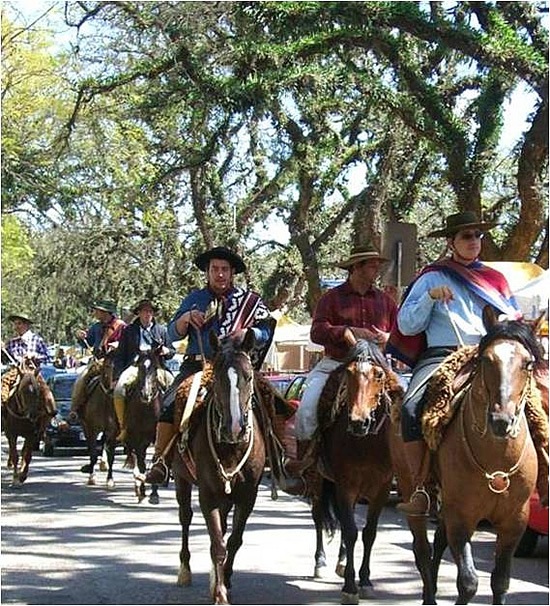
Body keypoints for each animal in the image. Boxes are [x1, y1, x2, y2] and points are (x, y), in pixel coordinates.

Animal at [73, 356, 119, 490]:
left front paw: (110, 480)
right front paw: (91, 477)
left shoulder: (112, 431)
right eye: (106, 367)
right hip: (86, 427)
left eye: (114, 367)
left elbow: (111, 456)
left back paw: (102, 463)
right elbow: (93, 454)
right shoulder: (92, 429)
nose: (111, 389)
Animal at [172, 330, 268, 604]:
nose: (233, 428)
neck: (231, 449)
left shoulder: (247, 496)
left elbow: (233, 540)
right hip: (181, 479)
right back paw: (185, 571)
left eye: (248, 376)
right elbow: (217, 544)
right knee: (185, 517)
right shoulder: (209, 495)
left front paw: (225, 580)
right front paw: (220, 594)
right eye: (217, 378)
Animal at [314, 340, 410, 604]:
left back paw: (341, 561)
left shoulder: (381, 489)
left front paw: (365, 580)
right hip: (317, 480)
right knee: (318, 516)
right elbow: (350, 531)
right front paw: (350, 586)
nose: (359, 422)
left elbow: (369, 533)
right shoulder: (345, 485)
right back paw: (320, 562)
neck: (365, 443)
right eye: (348, 374)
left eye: (379, 375)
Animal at [414, 308, 544, 606]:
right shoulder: (461, 517)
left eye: (528, 363)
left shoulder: (515, 522)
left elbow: (501, 580)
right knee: (421, 547)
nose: (501, 421)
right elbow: (469, 581)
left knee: (438, 542)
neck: (497, 462)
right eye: (486, 359)